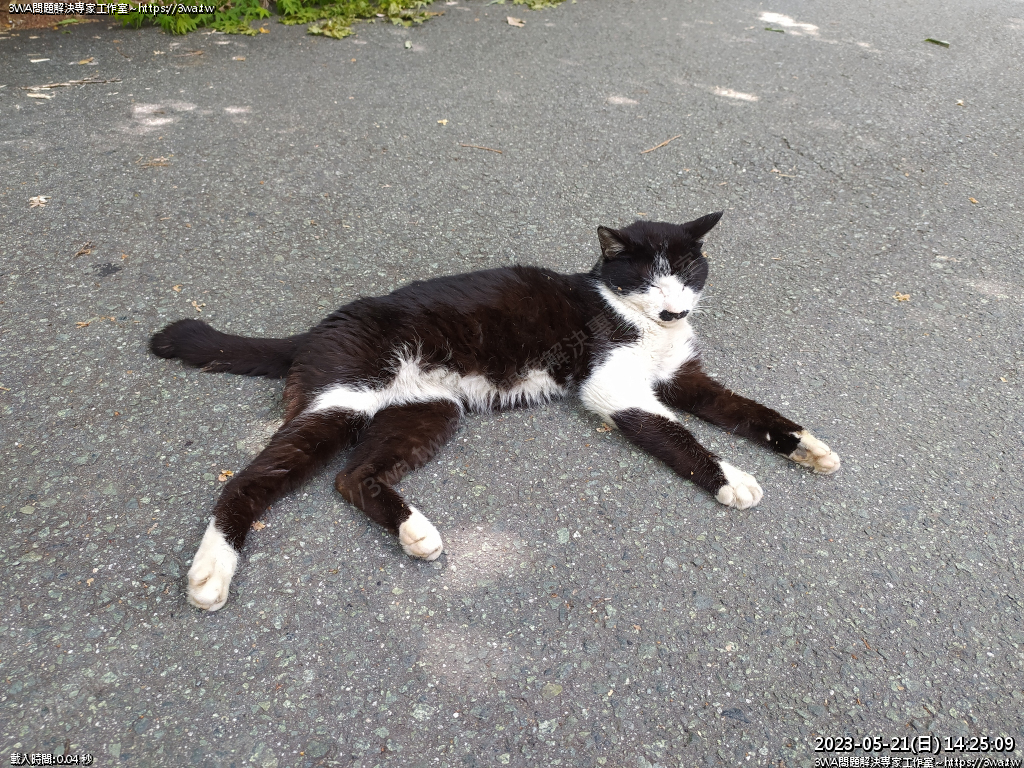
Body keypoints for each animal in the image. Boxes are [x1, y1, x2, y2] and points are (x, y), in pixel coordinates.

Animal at [150, 212, 840, 611]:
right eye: (648, 279)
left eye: (690, 270)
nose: (674, 309)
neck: (639, 323)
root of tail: (318, 329)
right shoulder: (613, 388)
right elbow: (677, 434)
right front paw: (733, 481)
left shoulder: (683, 377)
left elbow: (743, 408)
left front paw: (806, 446)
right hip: (343, 399)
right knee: (248, 480)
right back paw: (210, 573)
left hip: (428, 412)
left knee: (351, 477)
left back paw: (416, 533)